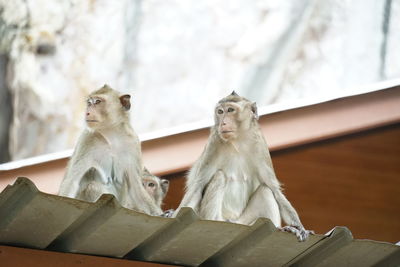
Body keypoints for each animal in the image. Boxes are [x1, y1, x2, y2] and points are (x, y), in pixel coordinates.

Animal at [57, 85, 162, 217]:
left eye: (97, 102)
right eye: (89, 103)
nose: (87, 112)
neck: (111, 135)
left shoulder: (133, 143)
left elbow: (136, 188)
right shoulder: (86, 140)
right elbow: (72, 181)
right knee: (93, 187)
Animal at [174, 91, 312, 242]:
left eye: (230, 110)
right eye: (220, 112)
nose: (223, 122)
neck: (237, 141)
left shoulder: (260, 144)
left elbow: (274, 189)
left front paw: (299, 227)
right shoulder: (214, 142)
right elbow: (197, 186)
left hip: (244, 221)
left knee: (265, 190)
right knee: (220, 177)